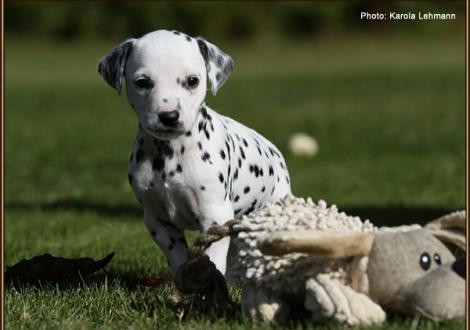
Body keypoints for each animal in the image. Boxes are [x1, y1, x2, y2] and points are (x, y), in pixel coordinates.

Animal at [98, 30, 290, 278]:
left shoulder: (214, 215)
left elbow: (213, 258)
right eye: (142, 82)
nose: (169, 116)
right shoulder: (157, 220)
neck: (170, 154)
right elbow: (177, 256)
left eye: (192, 81)